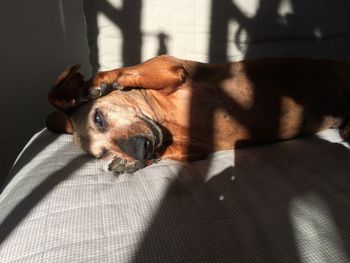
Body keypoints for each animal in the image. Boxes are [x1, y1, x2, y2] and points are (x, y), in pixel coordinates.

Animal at [45, 55, 350, 174]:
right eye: (103, 152)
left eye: (98, 118)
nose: (142, 151)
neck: (164, 117)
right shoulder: (195, 148)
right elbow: (170, 150)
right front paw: (129, 162)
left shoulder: (170, 68)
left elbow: (130, 70)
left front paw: (96, 83)